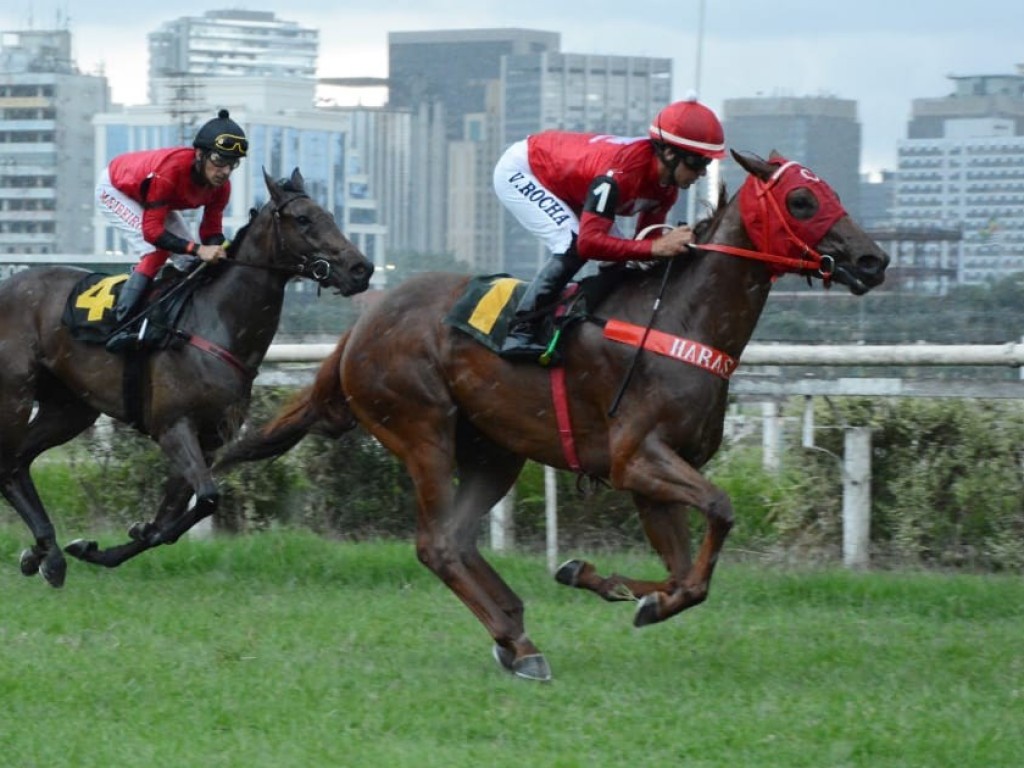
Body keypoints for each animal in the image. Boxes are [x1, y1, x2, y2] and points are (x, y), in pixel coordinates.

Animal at [0, 169, 376, 589]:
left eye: (329, 214)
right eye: (304, 219)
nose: (361, 269)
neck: (214, 324)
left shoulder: (209, 438)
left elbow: (172, 517)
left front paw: (105, 546)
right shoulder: (174, 426)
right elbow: (208, 496)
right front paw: (103, 544)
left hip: (69, 409)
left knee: (16, 463)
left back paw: (44, 553)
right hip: (14, 395)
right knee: (7, 462)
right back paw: (46, 552)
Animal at [218, 150, 888, 679]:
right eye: (802, 199)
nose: (873, 260)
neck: (679, 321)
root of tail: (362, 324)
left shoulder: (651, 479)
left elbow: (685, 578)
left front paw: (607, 583)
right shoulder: (636, 459)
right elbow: (718, 516)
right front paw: (621, 589)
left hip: (495, 449)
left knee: (458, 538)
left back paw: (512, 631)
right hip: (421, 427)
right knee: (436, 544)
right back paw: (518, 641)